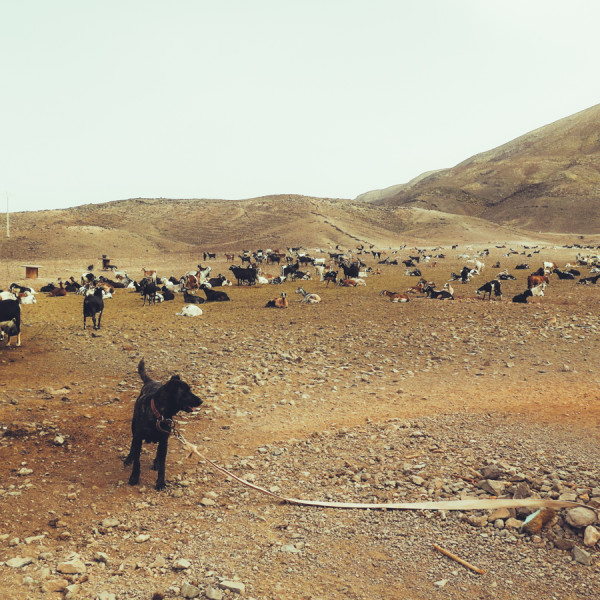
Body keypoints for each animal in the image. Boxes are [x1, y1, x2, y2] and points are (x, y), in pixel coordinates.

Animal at [125, 358, 204, 490]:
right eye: (186, 391)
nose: (201, 401)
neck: (159, 414)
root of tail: (150, 381)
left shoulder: (164, 440)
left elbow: (162, 465)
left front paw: (161, 482)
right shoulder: (138, 438)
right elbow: (137, 461)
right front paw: (134, 477)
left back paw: (156, 462)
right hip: (133, 427)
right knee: (133, 445)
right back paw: (129, 458)